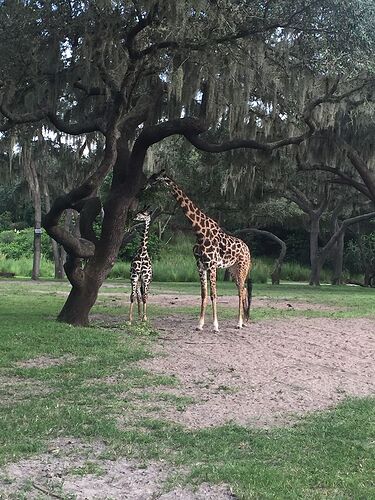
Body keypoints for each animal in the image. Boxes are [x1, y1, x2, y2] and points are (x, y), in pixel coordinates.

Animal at [147, 172, 253, 332]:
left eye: (156, 179)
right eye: (151, 176)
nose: (145, 185)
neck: (199, 231)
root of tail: (248, 249)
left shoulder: (212, 265)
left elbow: (213, 294)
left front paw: (215, 326)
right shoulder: (200, 265)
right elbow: (203, 294)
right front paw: (200, 324)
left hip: (242, 267)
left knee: (241, 290)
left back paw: (239, 323)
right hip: (232, 269)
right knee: (244, 289)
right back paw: (245, 321)